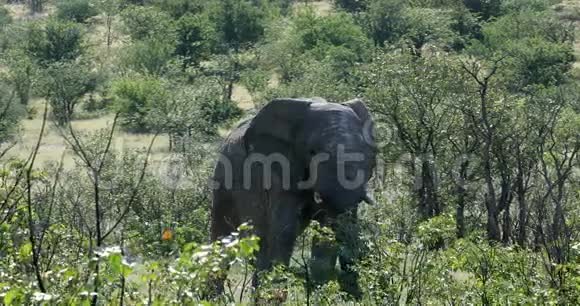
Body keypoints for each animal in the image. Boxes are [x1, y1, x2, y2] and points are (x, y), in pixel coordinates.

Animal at [208, 97, 376, 296]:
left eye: (369, 152)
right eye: (312, 152)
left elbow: (328, 232)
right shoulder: (277, 172)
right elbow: (284, 231)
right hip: (223, 184)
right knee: (225, 238)